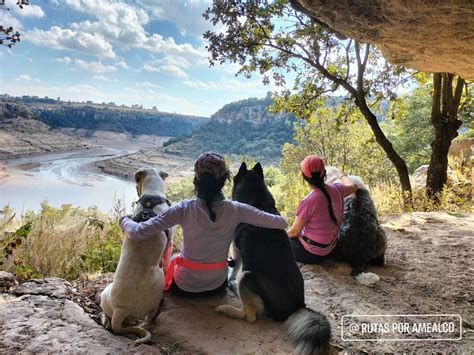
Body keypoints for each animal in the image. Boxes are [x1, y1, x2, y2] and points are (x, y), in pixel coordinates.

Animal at [100, 170, 174, 344]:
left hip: (105, 295)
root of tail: (120, 309)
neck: (151, 199)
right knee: (150, 316)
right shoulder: (169, 242)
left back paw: (106, 320)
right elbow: (167, 261)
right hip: (157, 279)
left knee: (109, 315)